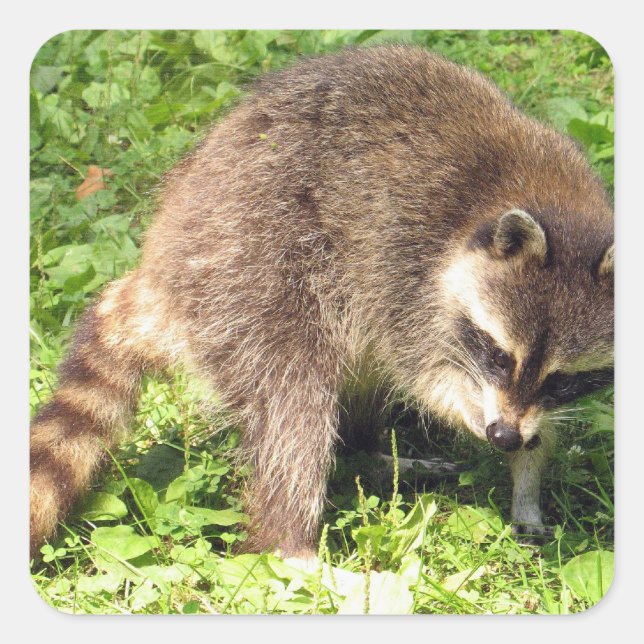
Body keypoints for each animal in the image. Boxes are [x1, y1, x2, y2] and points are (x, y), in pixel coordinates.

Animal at [30, 45, 614, 558]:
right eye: (497, 353)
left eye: (563, 380)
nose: (504, 435)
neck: (544, 196)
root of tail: (160, 264)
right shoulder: (399, 262)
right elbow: (418, 371)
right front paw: (466, 410)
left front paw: (529, 479)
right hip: (245, 270)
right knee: (294, 402)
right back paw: (292, 543)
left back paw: (370, 448)